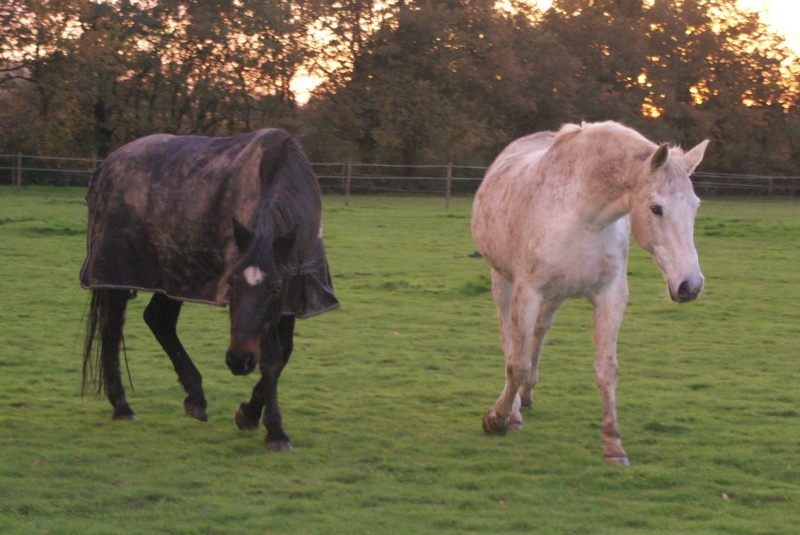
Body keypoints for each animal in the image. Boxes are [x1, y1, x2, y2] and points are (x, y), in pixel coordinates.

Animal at [83, 130, 340, 452]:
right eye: (231, 282)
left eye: (276, 287)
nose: (238, 360)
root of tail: (107, 167)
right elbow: (271, 357)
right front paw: (275, 431)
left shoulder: (291, 299)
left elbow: (282, 354)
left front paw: (250, 415)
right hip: (116, 274)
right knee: (111, 325)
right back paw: (122, 405)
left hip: (172, 278)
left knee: (158, 320)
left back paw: (195, 398)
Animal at [472, 120, 708, 464]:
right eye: (656, 208)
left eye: (694, 206)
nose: (690, 285)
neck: (582, 216)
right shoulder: (527, 291)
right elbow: (516, 363)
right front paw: (496, 419)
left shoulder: (610, 295)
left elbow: (606, 369)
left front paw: (613, 444)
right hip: (503, 280)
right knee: (510, 342)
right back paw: (513, 412)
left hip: (554, 295)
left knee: (539, 334)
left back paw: (527, 395)